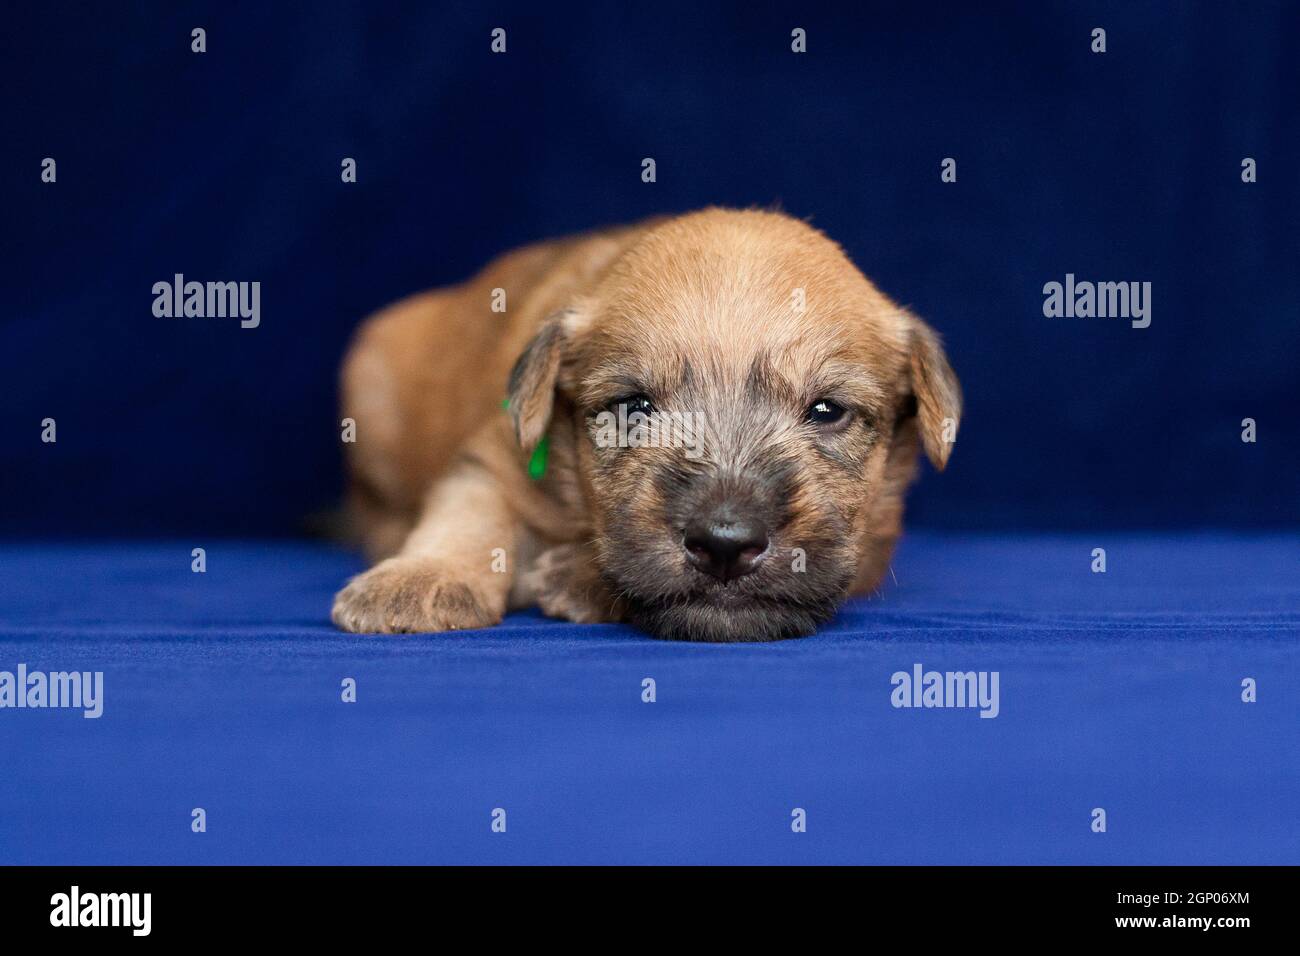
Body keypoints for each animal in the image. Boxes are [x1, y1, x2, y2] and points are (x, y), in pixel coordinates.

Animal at [330, 209, 961, 642]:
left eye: (827, 411)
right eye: (633, 408)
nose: (724, 543)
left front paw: (577, 575)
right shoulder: (494, 457)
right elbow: (468, 514)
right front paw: (419, 579)